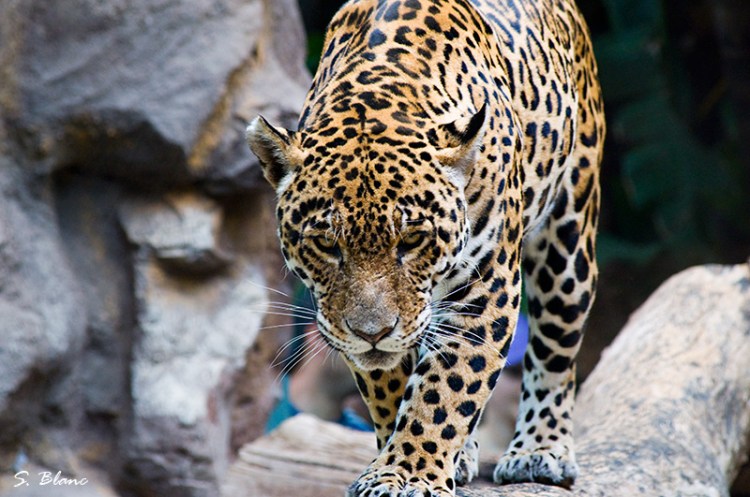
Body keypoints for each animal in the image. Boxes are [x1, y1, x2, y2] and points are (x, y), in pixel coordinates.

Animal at [246, 0, 604, 495]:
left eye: (413, 240)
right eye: (325, 244)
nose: (372, 332)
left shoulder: (486, 285)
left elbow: (447, 386)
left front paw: (409, 472)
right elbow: (394, 386)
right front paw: (400, 461)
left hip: (568, 244)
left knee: (555, 350)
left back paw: (539, 450)